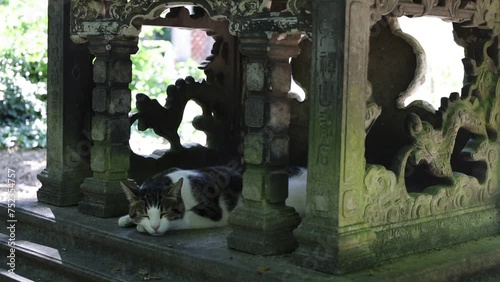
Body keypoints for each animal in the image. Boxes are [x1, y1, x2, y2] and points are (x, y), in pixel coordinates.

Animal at [119, 165, 306, 236]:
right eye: (145, 214)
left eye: (164, 213)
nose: (155, 227)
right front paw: (127, 219)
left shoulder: (214, 213)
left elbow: (182, 220)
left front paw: (142, 227)